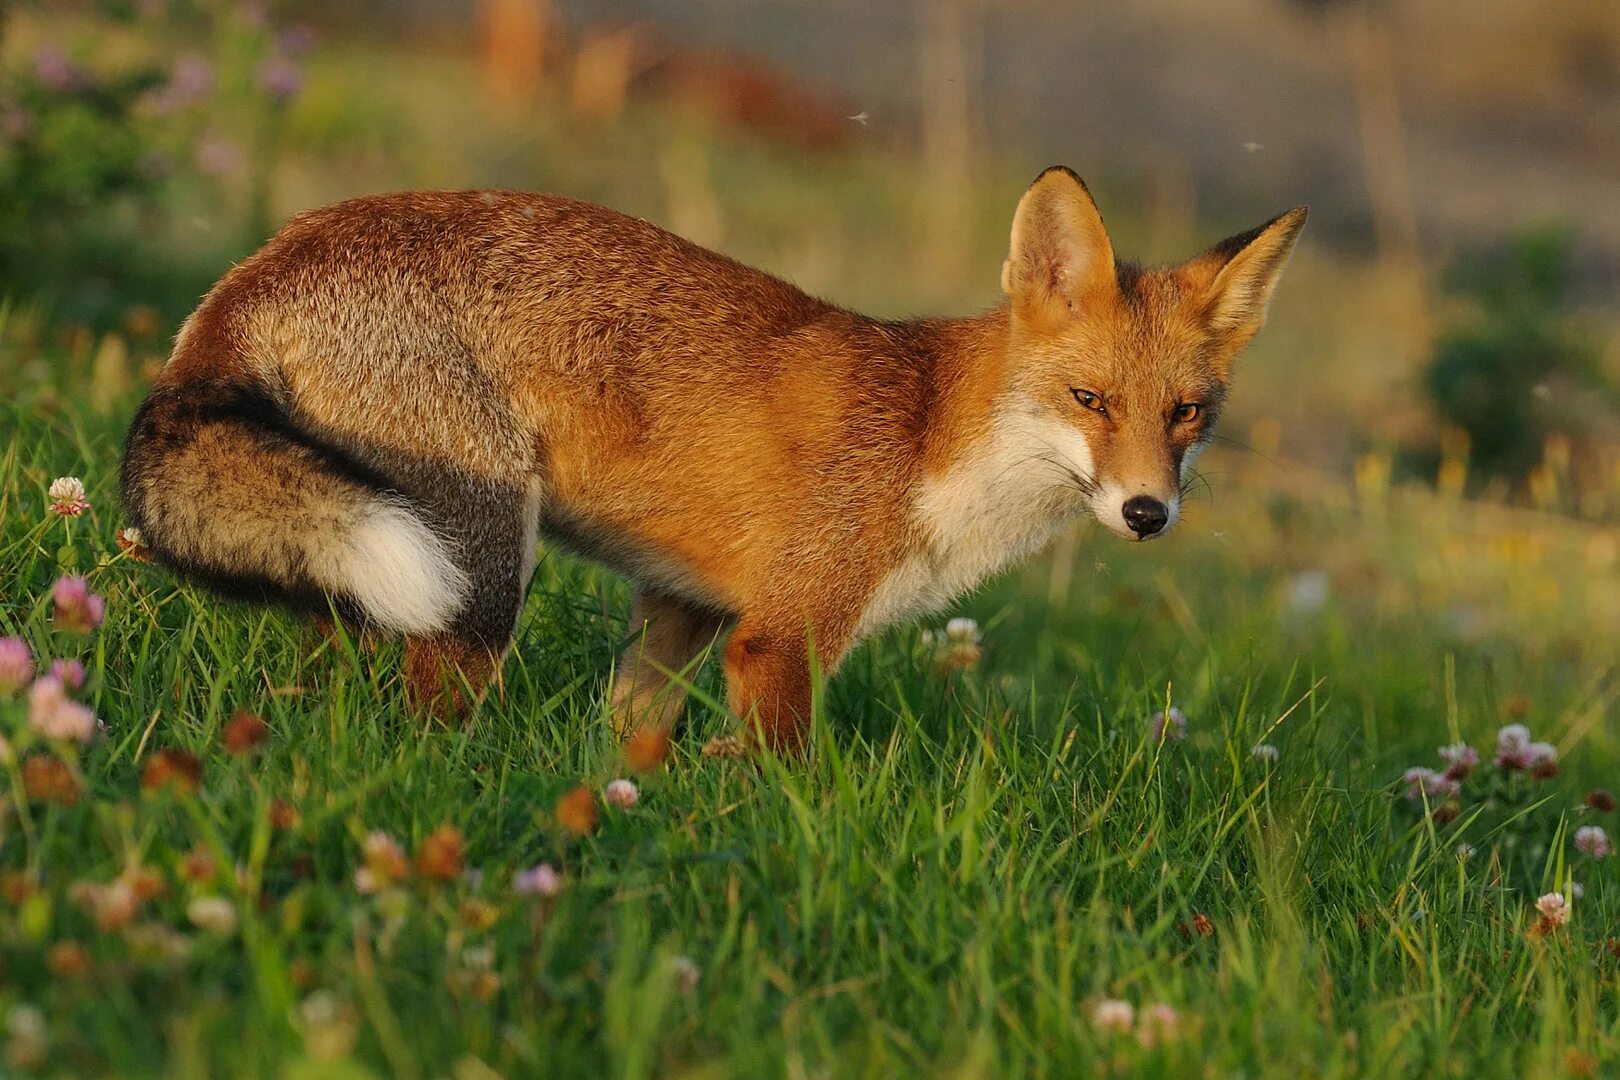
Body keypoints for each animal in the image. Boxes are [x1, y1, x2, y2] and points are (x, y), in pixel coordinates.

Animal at [123, 170, 1302, 751]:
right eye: (1089, 401)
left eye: (1186, 414)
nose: (1147, 513)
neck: (932, 440)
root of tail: (263, 262)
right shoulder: (783, 635)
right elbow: (799, 791)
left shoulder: (682, 608)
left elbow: (632, 740)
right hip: (479, 564)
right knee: (422, 719)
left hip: (373, 561)